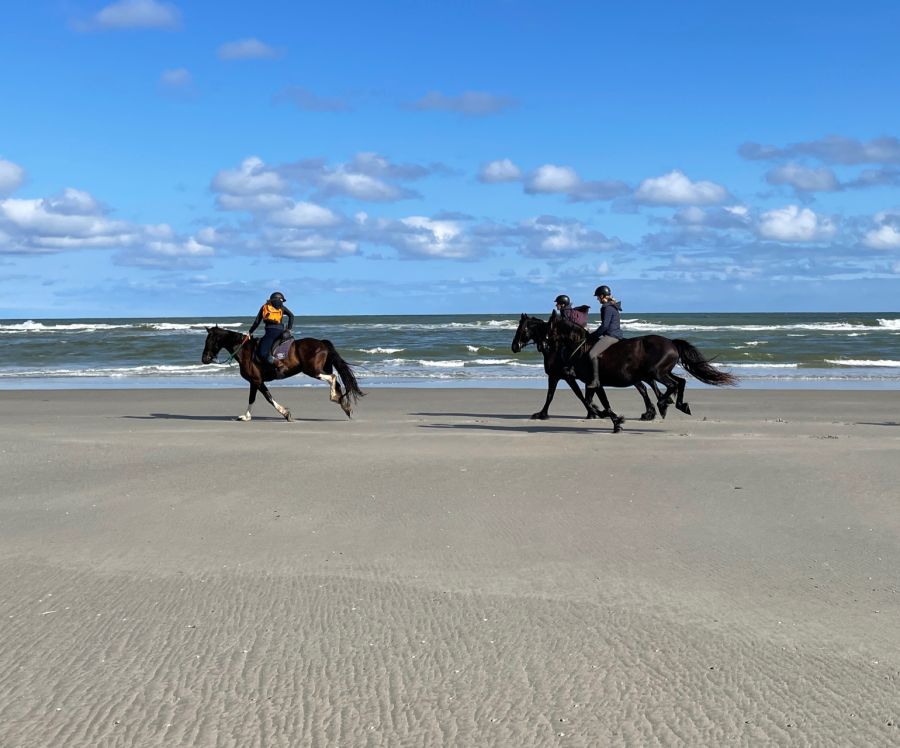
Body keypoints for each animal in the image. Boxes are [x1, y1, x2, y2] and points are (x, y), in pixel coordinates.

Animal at [201, 326, 364, 421]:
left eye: (209, 340)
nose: (204, 359)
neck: (245, 351)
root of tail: (322, 343)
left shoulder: (257, 380)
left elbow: (267, 397)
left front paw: (286, 413)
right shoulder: (254, 381)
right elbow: (252, 398)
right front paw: (246, 416)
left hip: (313, 371)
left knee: (333, 378)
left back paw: (335, 399)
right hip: (321, 369)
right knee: (337, 384)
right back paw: (345, 407)